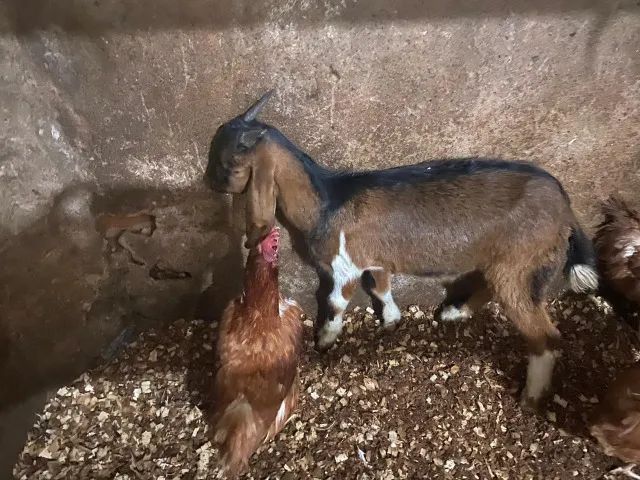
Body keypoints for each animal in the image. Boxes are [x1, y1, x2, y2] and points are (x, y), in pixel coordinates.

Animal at [205, 91, 599, 407]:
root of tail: (566, 206)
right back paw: (454, 312)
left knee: (544, 336)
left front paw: (326, 340)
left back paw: (531, 397)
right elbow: (381, 287)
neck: (327, 201)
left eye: (225, 164)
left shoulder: (344, 265)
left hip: (522, 261)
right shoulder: (375, 260)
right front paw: (392, 320)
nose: (210, 183)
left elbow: (336, 302)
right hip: (505, 262)